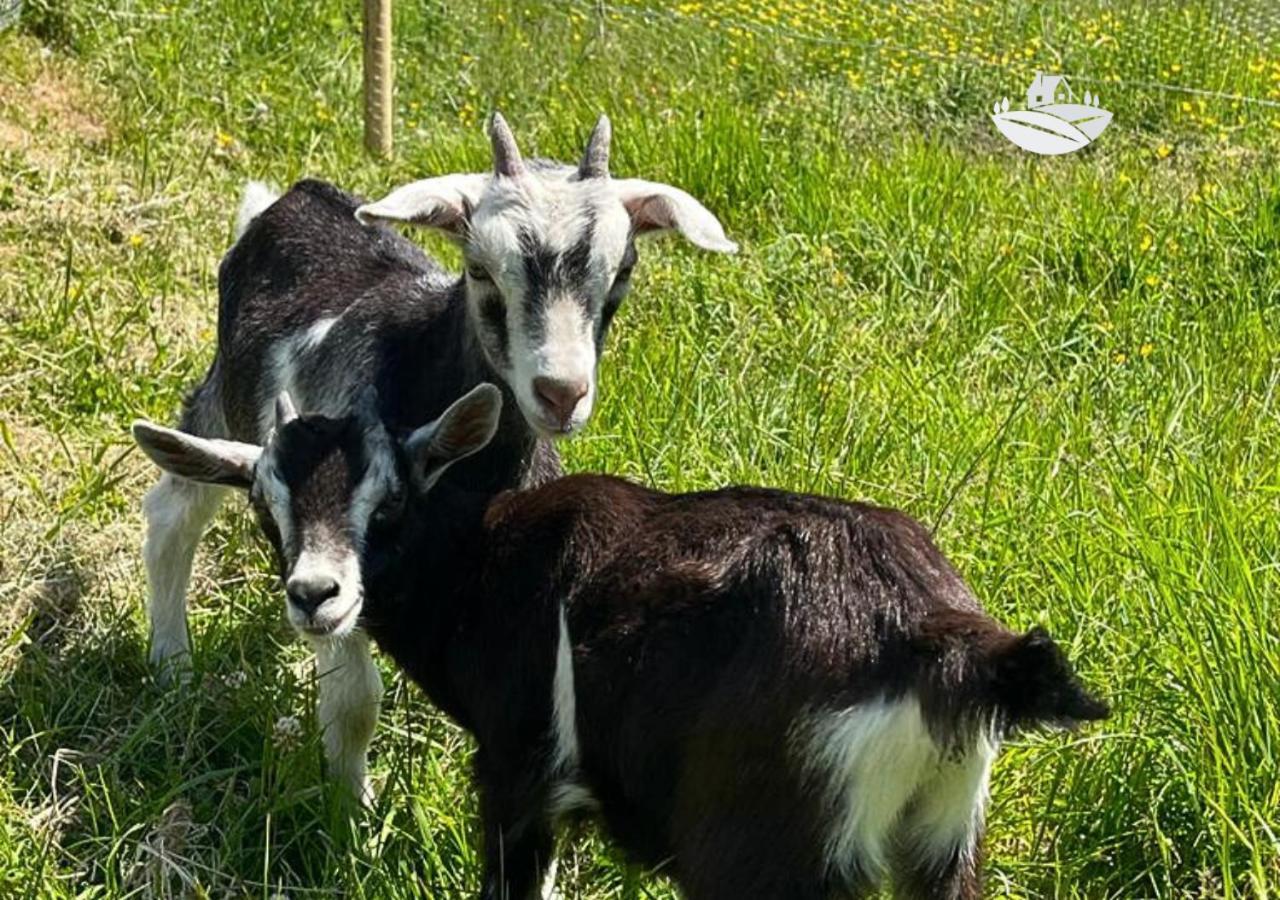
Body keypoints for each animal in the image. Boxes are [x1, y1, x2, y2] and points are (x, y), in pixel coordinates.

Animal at [132, 389, 1111, 900]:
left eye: (391, 499)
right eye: (267, 506)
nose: (316, 596)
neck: (483, 561)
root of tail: (938, 639)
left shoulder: (522, 770)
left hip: (762, 849)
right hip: (944, 841)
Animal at [133, 114, 737, 803]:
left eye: (623, 270)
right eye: (478, 268)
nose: (561, 393)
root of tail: (292, 200)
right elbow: (354, 697)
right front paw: (349, 809)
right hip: (222, 397)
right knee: (173, 513)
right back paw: (172, 667)